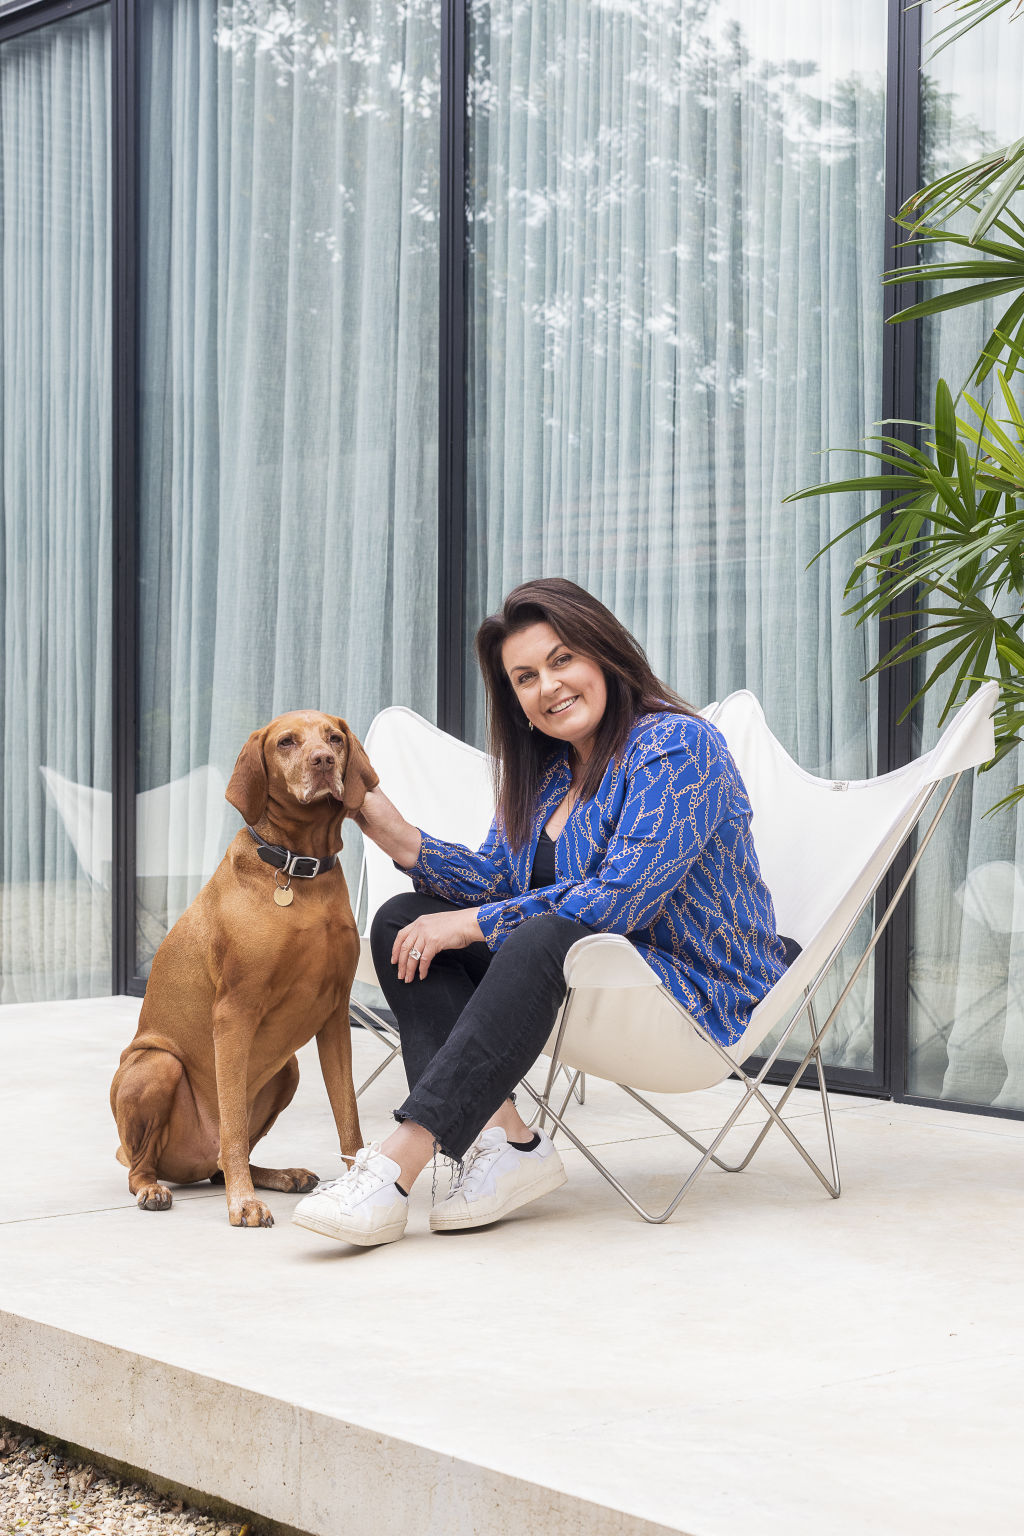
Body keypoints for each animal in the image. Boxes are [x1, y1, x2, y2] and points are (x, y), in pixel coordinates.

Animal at [109, 712, 380, 1228]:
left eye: (335, 738)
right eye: (286, 742)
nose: (324, 761)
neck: (298, 873)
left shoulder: (335, 1015)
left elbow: (349, 1116)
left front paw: (360, 1182)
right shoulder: (234, 1013)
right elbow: (232, 1121)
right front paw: (244, 1204)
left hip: (287, 1069)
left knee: (218, 1165)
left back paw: (279, 1175)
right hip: (156, 1064)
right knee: (144, 1164)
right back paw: (152, 1188)